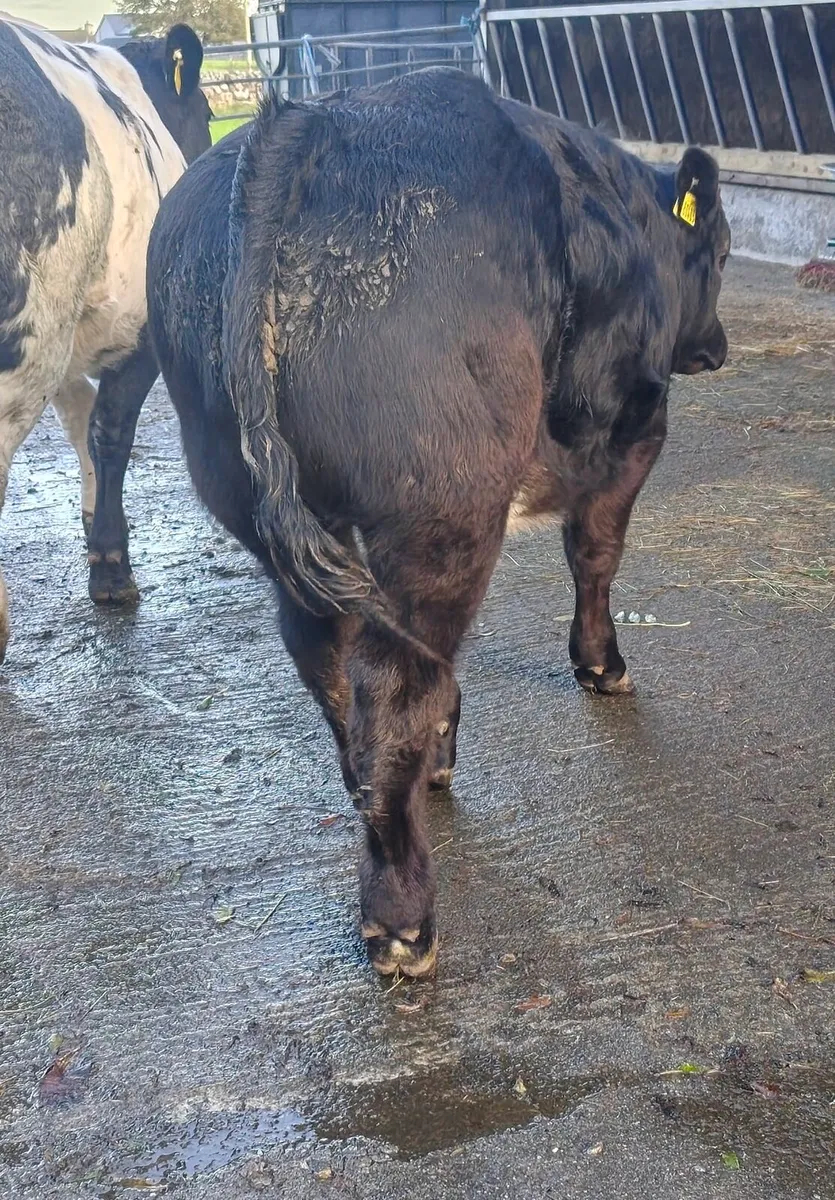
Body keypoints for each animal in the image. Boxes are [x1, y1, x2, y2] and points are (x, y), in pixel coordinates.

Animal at [0, 16, 211, 663]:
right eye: (208, 109)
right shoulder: (136, 329)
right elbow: (109, 433)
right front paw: (112, 566)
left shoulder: (68, 330)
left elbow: (80, 422)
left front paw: (93, 522)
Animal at [114, 67, 728, 977]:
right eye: (719, 254)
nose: (714, 347)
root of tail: (301, 123)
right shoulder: (633, 431)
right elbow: (596, 552)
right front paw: (601, 665)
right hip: (440, 515)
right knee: (397, 685)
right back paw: (402, 919)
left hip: (265, 510)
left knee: (330, 663)